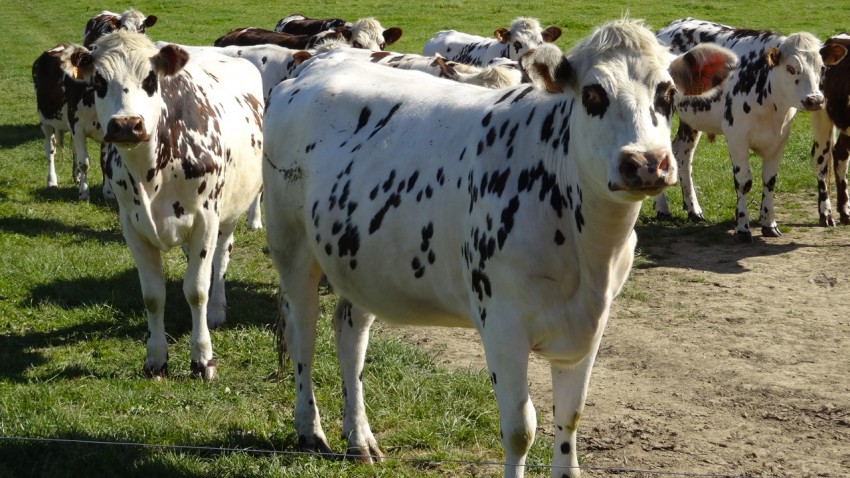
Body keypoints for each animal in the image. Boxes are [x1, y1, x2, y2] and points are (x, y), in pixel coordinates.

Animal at [59, 31, 265, 380]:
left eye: (151, 78)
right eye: (99, 81)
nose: (127, 124)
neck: (150, 172)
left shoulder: (205, 220)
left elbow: (197, 290)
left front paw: (203, 359)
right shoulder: (132, 227)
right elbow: (154, 296)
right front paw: (155, 358)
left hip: (229, 212)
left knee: (221, 257)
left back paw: (217, 310)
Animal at [653, 18, 829, 242]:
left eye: (822, 68)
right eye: (791, 67)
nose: (815, 100)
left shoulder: (779, 140)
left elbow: (769, 181)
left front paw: (769, 224)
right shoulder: (737, 138)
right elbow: (744, 181)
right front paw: (743, 228)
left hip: (691, 119)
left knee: (682, 154)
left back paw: (693, 209)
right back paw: (662, 209)